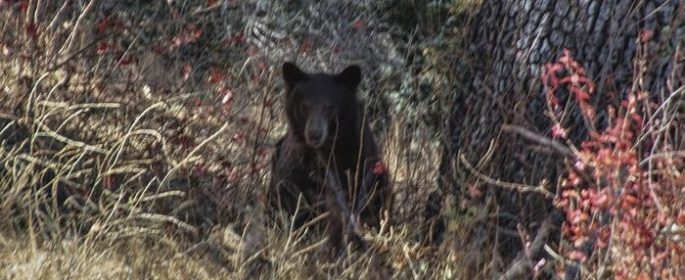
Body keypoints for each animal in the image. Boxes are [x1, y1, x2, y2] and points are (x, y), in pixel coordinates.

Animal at [270, 61, 392, 254]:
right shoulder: (296, 165)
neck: (328, 148)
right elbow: (290, 194)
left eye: (329, 107)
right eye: (305, 105)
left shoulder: (357, 156)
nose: (314, 133)